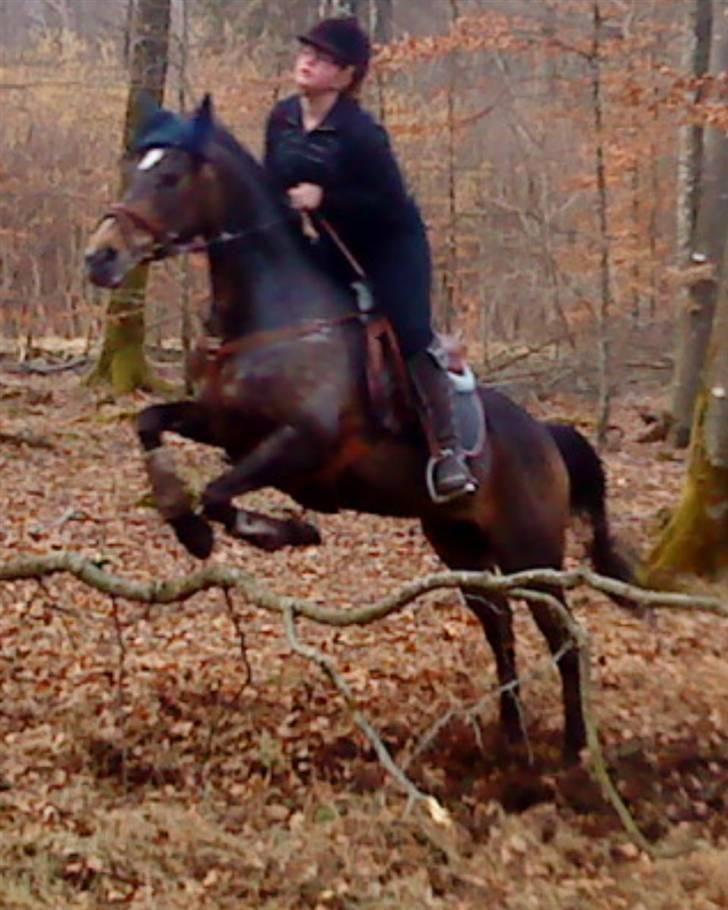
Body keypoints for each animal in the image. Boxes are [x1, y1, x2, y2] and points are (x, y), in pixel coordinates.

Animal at [84, 98, 632, 768]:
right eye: (137, 169)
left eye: (168, 177)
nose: (100, 257)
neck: (273, 317)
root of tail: (547, 435)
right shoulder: (225, 427)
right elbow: (152, 426)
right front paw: (187, 524)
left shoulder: (302, 443)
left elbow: (217, 493)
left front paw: (279, 532)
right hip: (459, 542)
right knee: (498, 625)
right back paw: (510, 737)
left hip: (530, 550)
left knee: (562, 635)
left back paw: (576, 750)